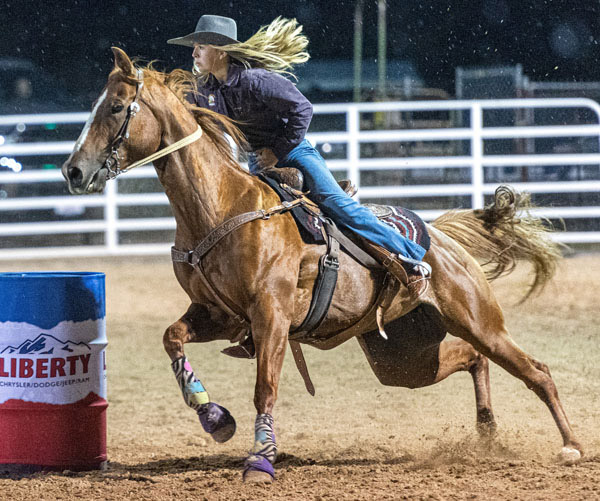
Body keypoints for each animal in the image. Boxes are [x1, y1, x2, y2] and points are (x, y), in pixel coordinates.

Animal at [62, 48, 580, 482]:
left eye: (115, 107)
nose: (72, 170)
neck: (222, 206)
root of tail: (442, 239)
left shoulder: (270, 315)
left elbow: (265, 387)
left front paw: (260, 460)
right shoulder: (218, 315)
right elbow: (172, 338)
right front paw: (215, 418)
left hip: (479, 320)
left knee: (535, 371)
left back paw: (571, 446)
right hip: (404, 358)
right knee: (472, 359)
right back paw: (487, 433)